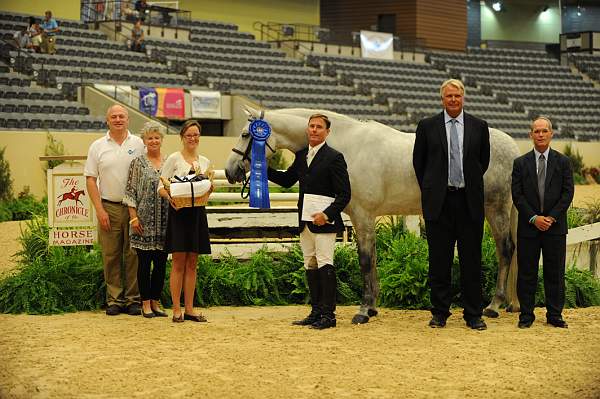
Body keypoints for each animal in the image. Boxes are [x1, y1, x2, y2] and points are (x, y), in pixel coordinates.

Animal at [225, 107, 520, 324]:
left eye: (245, 134)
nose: (231, 171)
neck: (346, 146)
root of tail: (513, 148)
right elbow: (373, 260)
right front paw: (374, 306)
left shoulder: (363, 216)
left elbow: (366, 261)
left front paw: (364, 310)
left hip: (495, 209)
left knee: (505, 250)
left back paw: (493, 306)